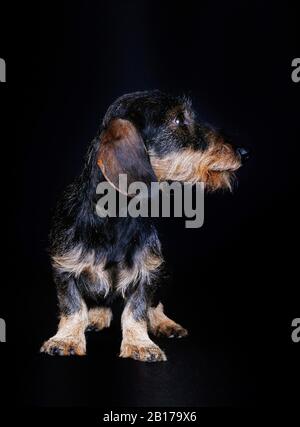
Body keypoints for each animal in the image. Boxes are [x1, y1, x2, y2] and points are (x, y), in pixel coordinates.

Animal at [41, 90, 250, 362]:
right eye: (178, 120)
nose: (244, 152)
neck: (116, 218)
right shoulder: (64, 267)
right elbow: (73, 306)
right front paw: (65, 339)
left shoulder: (148, 271)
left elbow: (137, 309)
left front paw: (141, 343)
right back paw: (95, 317)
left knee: (154, 304)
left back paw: (165, 323)